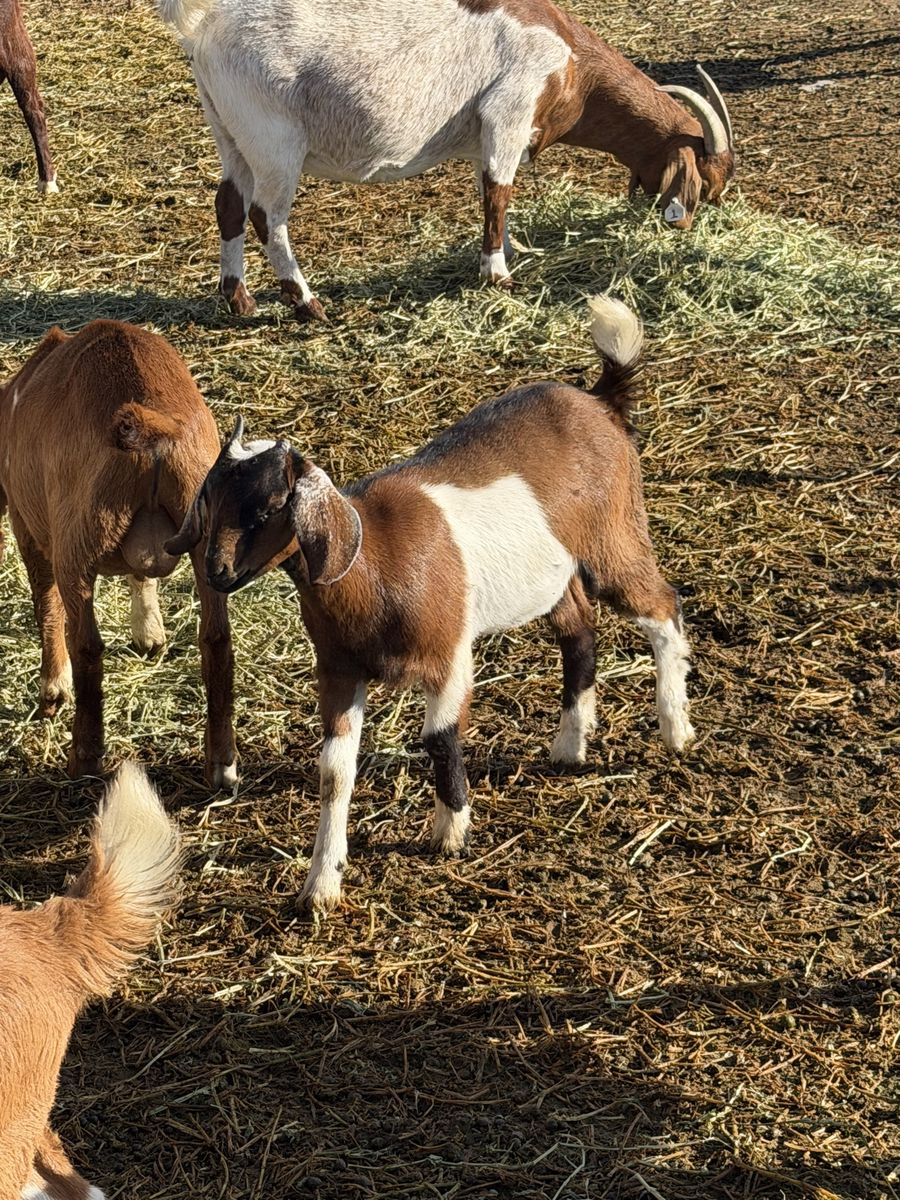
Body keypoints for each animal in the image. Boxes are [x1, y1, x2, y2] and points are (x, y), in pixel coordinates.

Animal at [0, 320, 237, 786]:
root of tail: (150, 427)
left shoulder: (28, 523)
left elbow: (46, 605)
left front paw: (52, 689)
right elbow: (140, 575)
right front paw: (149, 635)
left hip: (75, 541)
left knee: (87, 645)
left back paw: (84, 757)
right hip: (208, 535)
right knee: (217, 637)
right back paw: (222, 762)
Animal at [154, 0, 735, 322]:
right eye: (707, 182)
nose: (694, 223)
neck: (570, 59)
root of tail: (204, 28)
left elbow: (494, 194)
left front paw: (506, 256)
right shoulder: (508, 112)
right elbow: (497, 193)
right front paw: (498, 275)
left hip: (230, 135)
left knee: (229, 205)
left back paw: (239, 299)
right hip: (274, 141)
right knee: (267, 218)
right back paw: (305, 303)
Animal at [166, 296, 695, 911]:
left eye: (268, 508)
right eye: (210, 499)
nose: (217, 572)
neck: (374, 563)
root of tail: (600, 400)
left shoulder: (448, 655)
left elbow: (438, 739)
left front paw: (450, 831)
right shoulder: (339, 670)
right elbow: (334, 773)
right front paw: (322, 883)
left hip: (615, 538)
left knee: (662, 608)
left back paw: (675, 728)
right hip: (556, 575)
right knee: (579, 633)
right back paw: (570, 744)